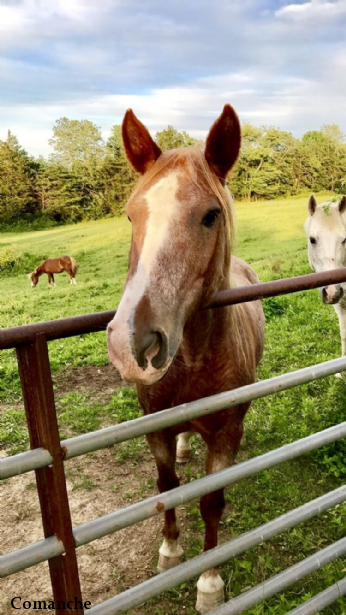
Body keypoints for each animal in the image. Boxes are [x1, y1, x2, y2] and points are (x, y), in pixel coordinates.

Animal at [107, 103, 264, 612]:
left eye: (211, 215)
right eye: (130, 216)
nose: (132, 343)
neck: (193, 358)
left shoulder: (225, 434)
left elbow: (211, 502)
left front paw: (209, 582)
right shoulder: (155, 426)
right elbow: (167, 487)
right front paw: (170, 551)